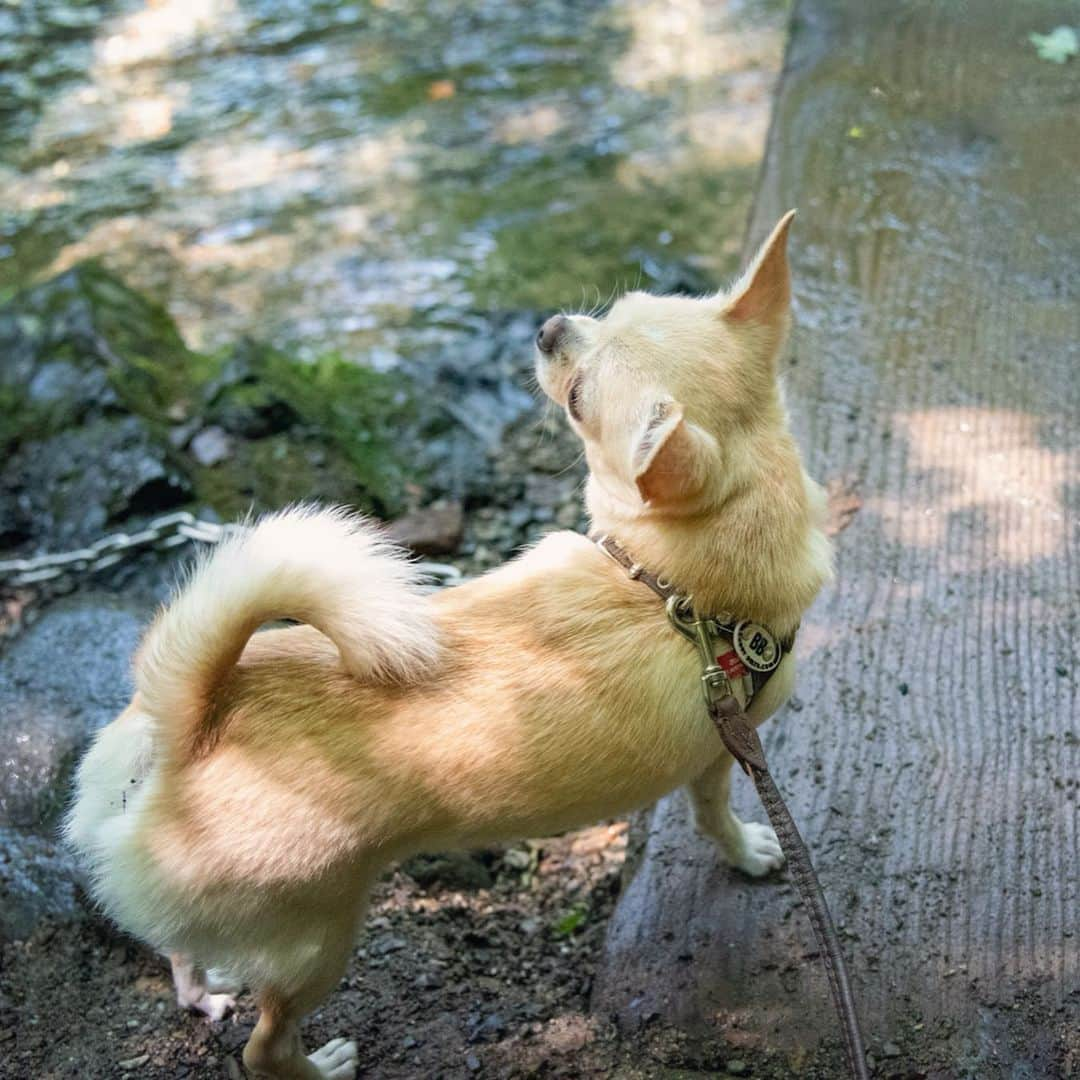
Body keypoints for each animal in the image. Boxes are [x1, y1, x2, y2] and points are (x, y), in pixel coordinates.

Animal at [63, 212, 829, 1080]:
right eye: (613, 309)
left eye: (577, 400)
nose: (547, 327)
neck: (664, 583)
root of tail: (193, 714)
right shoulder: (722, 752)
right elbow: (714, 815)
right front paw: (749, 851)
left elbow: (710, 816)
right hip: (320, 936)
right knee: (264, 1046)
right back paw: (320, 1064)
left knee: (181, 953)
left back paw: (206, 987)